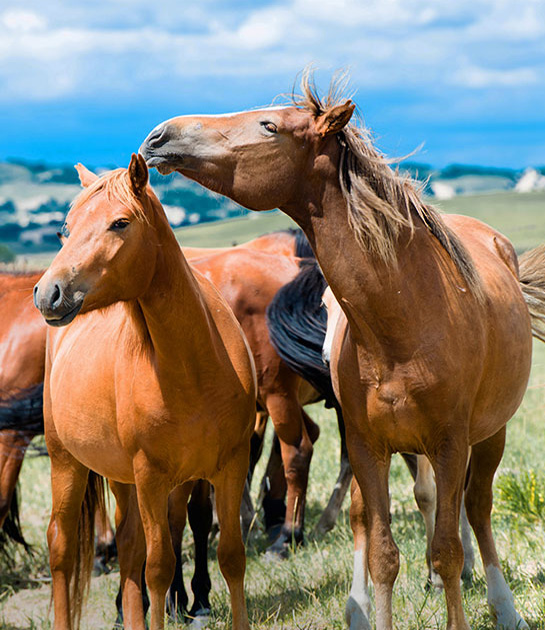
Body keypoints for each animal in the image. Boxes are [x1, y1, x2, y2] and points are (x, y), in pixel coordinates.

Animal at [139, 69, 544, 630]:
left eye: (269, 126)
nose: (160, 135)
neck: (405, 322)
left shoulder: (448, 443)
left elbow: (446, 548)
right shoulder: (368, 446)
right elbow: (383, 553)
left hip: (490, 435)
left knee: (478, 509)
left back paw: (503, 606)